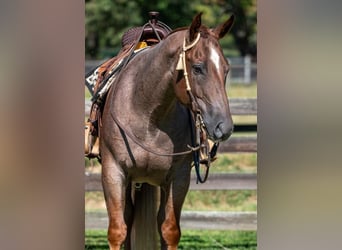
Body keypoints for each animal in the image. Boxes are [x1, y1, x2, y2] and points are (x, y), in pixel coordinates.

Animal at [100, 12, 235, 249]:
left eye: (226, 69)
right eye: (197, 67)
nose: (224, 126)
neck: (147, 114)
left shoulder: (178, 177)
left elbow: (169, 230)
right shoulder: (113, 172)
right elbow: (117, 231)